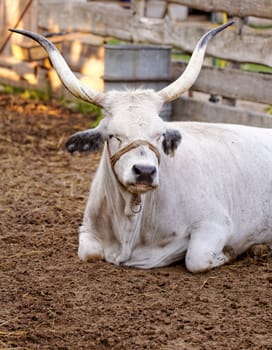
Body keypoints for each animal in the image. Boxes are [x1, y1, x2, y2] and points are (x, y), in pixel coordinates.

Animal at [10, 22, 272, 274]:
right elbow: (90, 253)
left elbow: (197, 259)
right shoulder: (87, 230)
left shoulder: (214, 223)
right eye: (113, 135)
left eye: (159, 135)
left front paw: (230, 252)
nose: (145, 171)